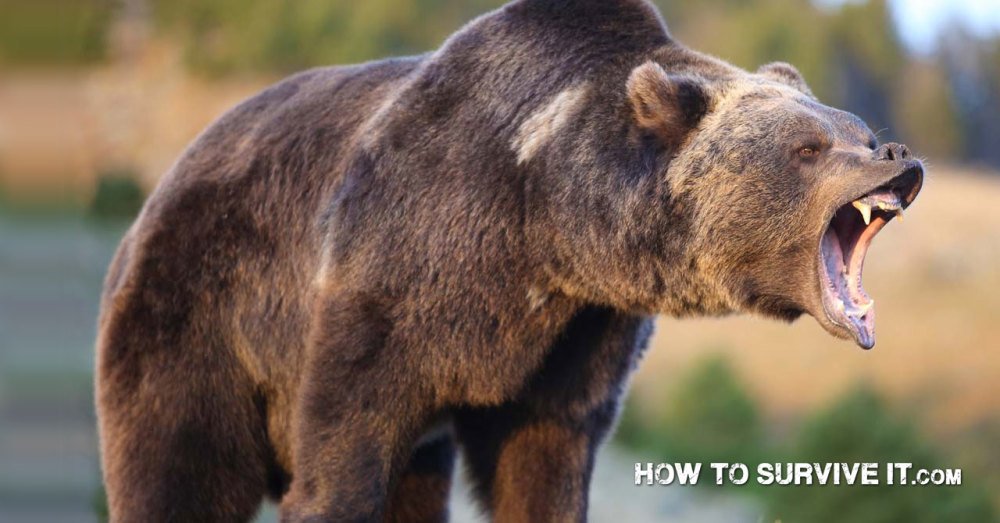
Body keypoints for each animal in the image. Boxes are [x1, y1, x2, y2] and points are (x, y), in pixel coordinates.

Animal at [94, 0, 924, 521]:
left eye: (856, 128)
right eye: (808, 147)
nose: (898, 155)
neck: (544, 225)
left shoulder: (576, 337)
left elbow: (543, 465)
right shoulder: (390, 278)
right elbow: (342, 454)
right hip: (197, 316)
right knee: (178, 469)